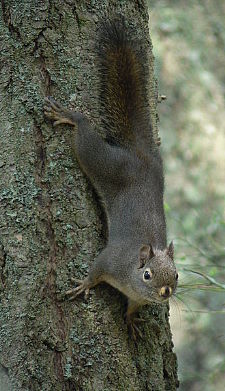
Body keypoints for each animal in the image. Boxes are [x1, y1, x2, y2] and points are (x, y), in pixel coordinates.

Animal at [43, 18, 178, 340]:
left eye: (177, 275)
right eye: (147, 274)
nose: (166, 292)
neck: (132, 279)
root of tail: (140, 155)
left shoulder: (137, 297)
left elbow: (132, 307)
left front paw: (131, 320)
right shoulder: (111, 261)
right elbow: (95, 271)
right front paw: (83, 285)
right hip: (103, 162)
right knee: (85, 138)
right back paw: (71, 117)